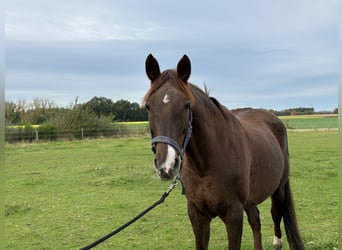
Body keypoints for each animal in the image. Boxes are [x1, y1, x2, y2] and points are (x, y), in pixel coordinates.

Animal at [142, 53, 304, 249]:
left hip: (278, 190)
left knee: (275, 216)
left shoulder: (233, 214)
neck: (206, 166)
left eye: (187, 105)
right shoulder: (197, 215)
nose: (166, 166)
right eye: (148, 106)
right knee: (255, 220)